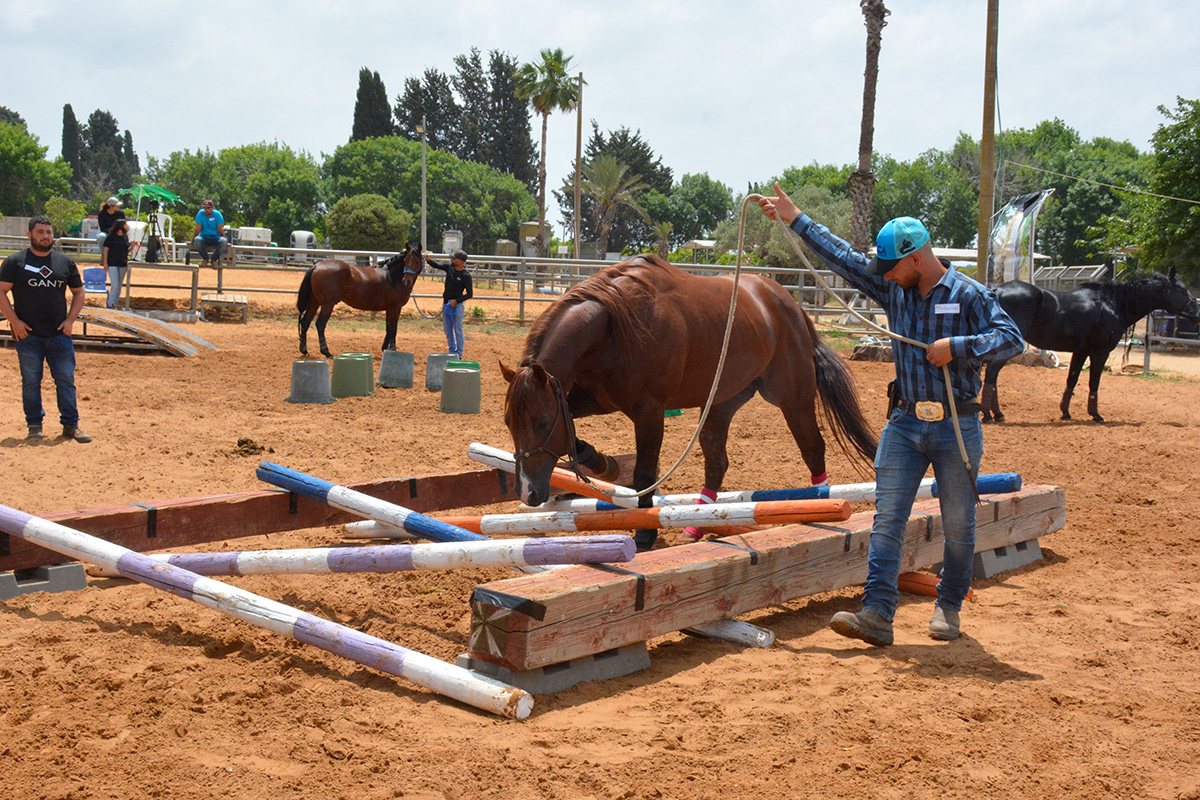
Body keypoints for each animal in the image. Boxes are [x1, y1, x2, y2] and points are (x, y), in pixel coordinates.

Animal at [296, 242, 424, 357]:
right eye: (406, 261)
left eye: (417, 261)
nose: (407, 281)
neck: (392, 276)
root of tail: (316, 266)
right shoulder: (395, 307)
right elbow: (393, 328)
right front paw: (393, 350)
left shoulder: (389, 308)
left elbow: (388, 327)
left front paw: (384, 349)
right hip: (327, 305)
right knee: (320, 324)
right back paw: (326, 351)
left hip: (314, 303)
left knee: (305, 322)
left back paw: (304, 350)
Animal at [501, 256, 878, 551]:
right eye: (508, 423)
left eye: (542, 422)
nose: (527, 492)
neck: (613, 326)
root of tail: (792, 306)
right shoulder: (590, 399)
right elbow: (575, 439)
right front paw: (603, 463)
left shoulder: (649, 412)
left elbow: (644, 471)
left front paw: (644, 532)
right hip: (721, 403)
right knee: (717, 462)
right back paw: (697, 523)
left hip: (792, 399)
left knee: (813, 448)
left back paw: (822, 504)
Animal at [984, 268, 1200, 422]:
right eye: (1181, 289)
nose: (1197, 312)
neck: (1112, 304)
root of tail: (996, 291)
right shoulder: (1099, 353)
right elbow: (1093, 382)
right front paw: (1096, 415)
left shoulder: (1080, 352)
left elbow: (1072, 380)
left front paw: (1065, 413)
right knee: (991, 375)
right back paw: (989, 415)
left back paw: (997, 414)